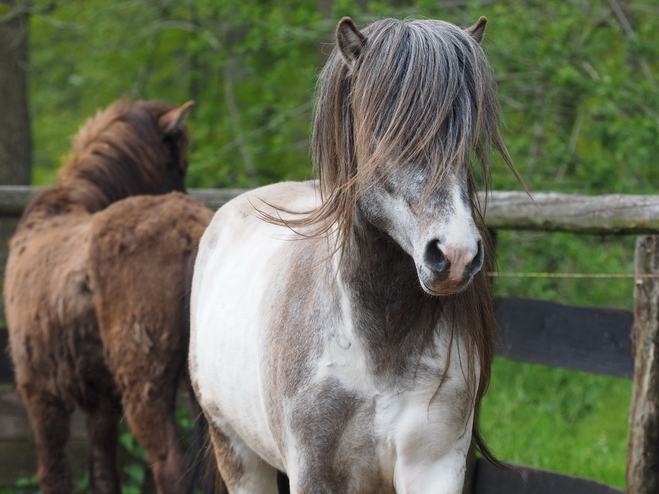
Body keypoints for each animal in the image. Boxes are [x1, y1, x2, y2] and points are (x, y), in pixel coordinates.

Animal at [3, 99, 214, 494]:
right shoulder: (102, 400)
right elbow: (103, 472)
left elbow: (54, 474)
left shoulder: (39, 391)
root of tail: (191, 231)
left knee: (171, 466)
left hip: (143, 380)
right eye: (178, 165)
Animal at [189, 15, 516, 494]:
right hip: (236, 452)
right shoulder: (314, 474)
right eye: (384, 129)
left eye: (467, 134)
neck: (376, 351)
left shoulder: (433, 468)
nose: (455, 255)